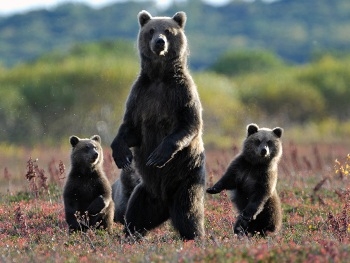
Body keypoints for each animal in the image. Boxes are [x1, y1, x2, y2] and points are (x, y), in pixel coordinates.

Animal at [110, 10, 205, 241]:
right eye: (151, 30)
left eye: (168, 31)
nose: (159, 42)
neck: (160, 76)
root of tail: (165, 206)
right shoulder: (141, 95)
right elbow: (131, 128)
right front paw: (122, 155)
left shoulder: (181, 93)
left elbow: (189, 125)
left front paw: (158, 155)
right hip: (146, 192)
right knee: (136, 214)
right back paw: (130, 235)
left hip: (186, 179)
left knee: (189, 213)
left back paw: (196, 236)